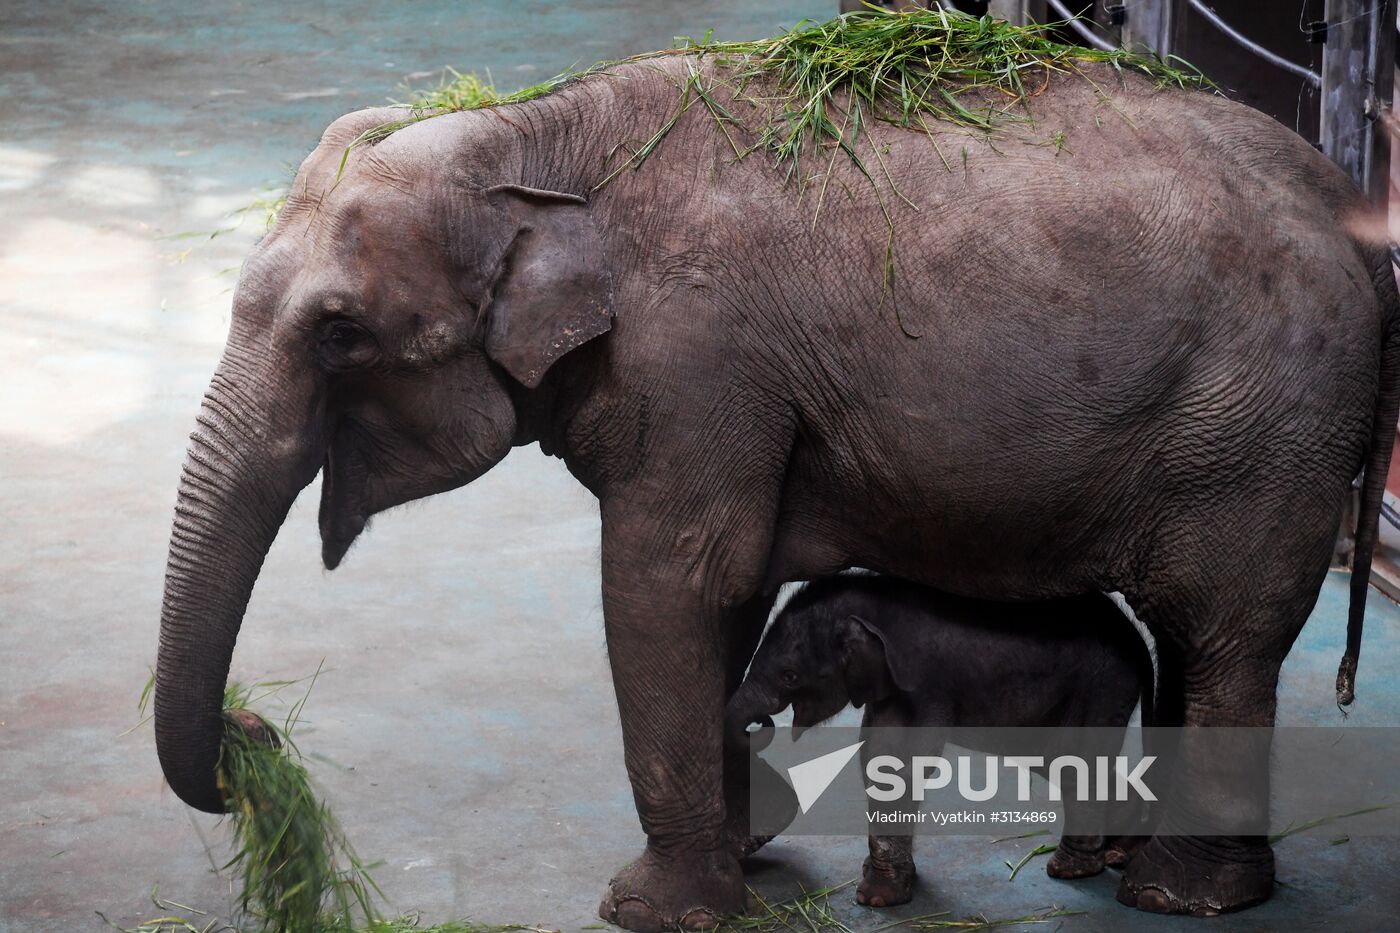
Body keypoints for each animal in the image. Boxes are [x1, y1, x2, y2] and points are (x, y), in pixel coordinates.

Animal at [725, 574, 1154, 907]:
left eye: (789, 675)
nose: (760, 723)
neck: (873, 600)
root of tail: (1138, 641)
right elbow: (875, 754)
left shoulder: (921, 680)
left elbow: (895, 760)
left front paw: (875, 898)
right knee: (1063, 762)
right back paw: (1118, 851)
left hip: (1101, 684)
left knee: (1072, 761)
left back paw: (1070, 869)